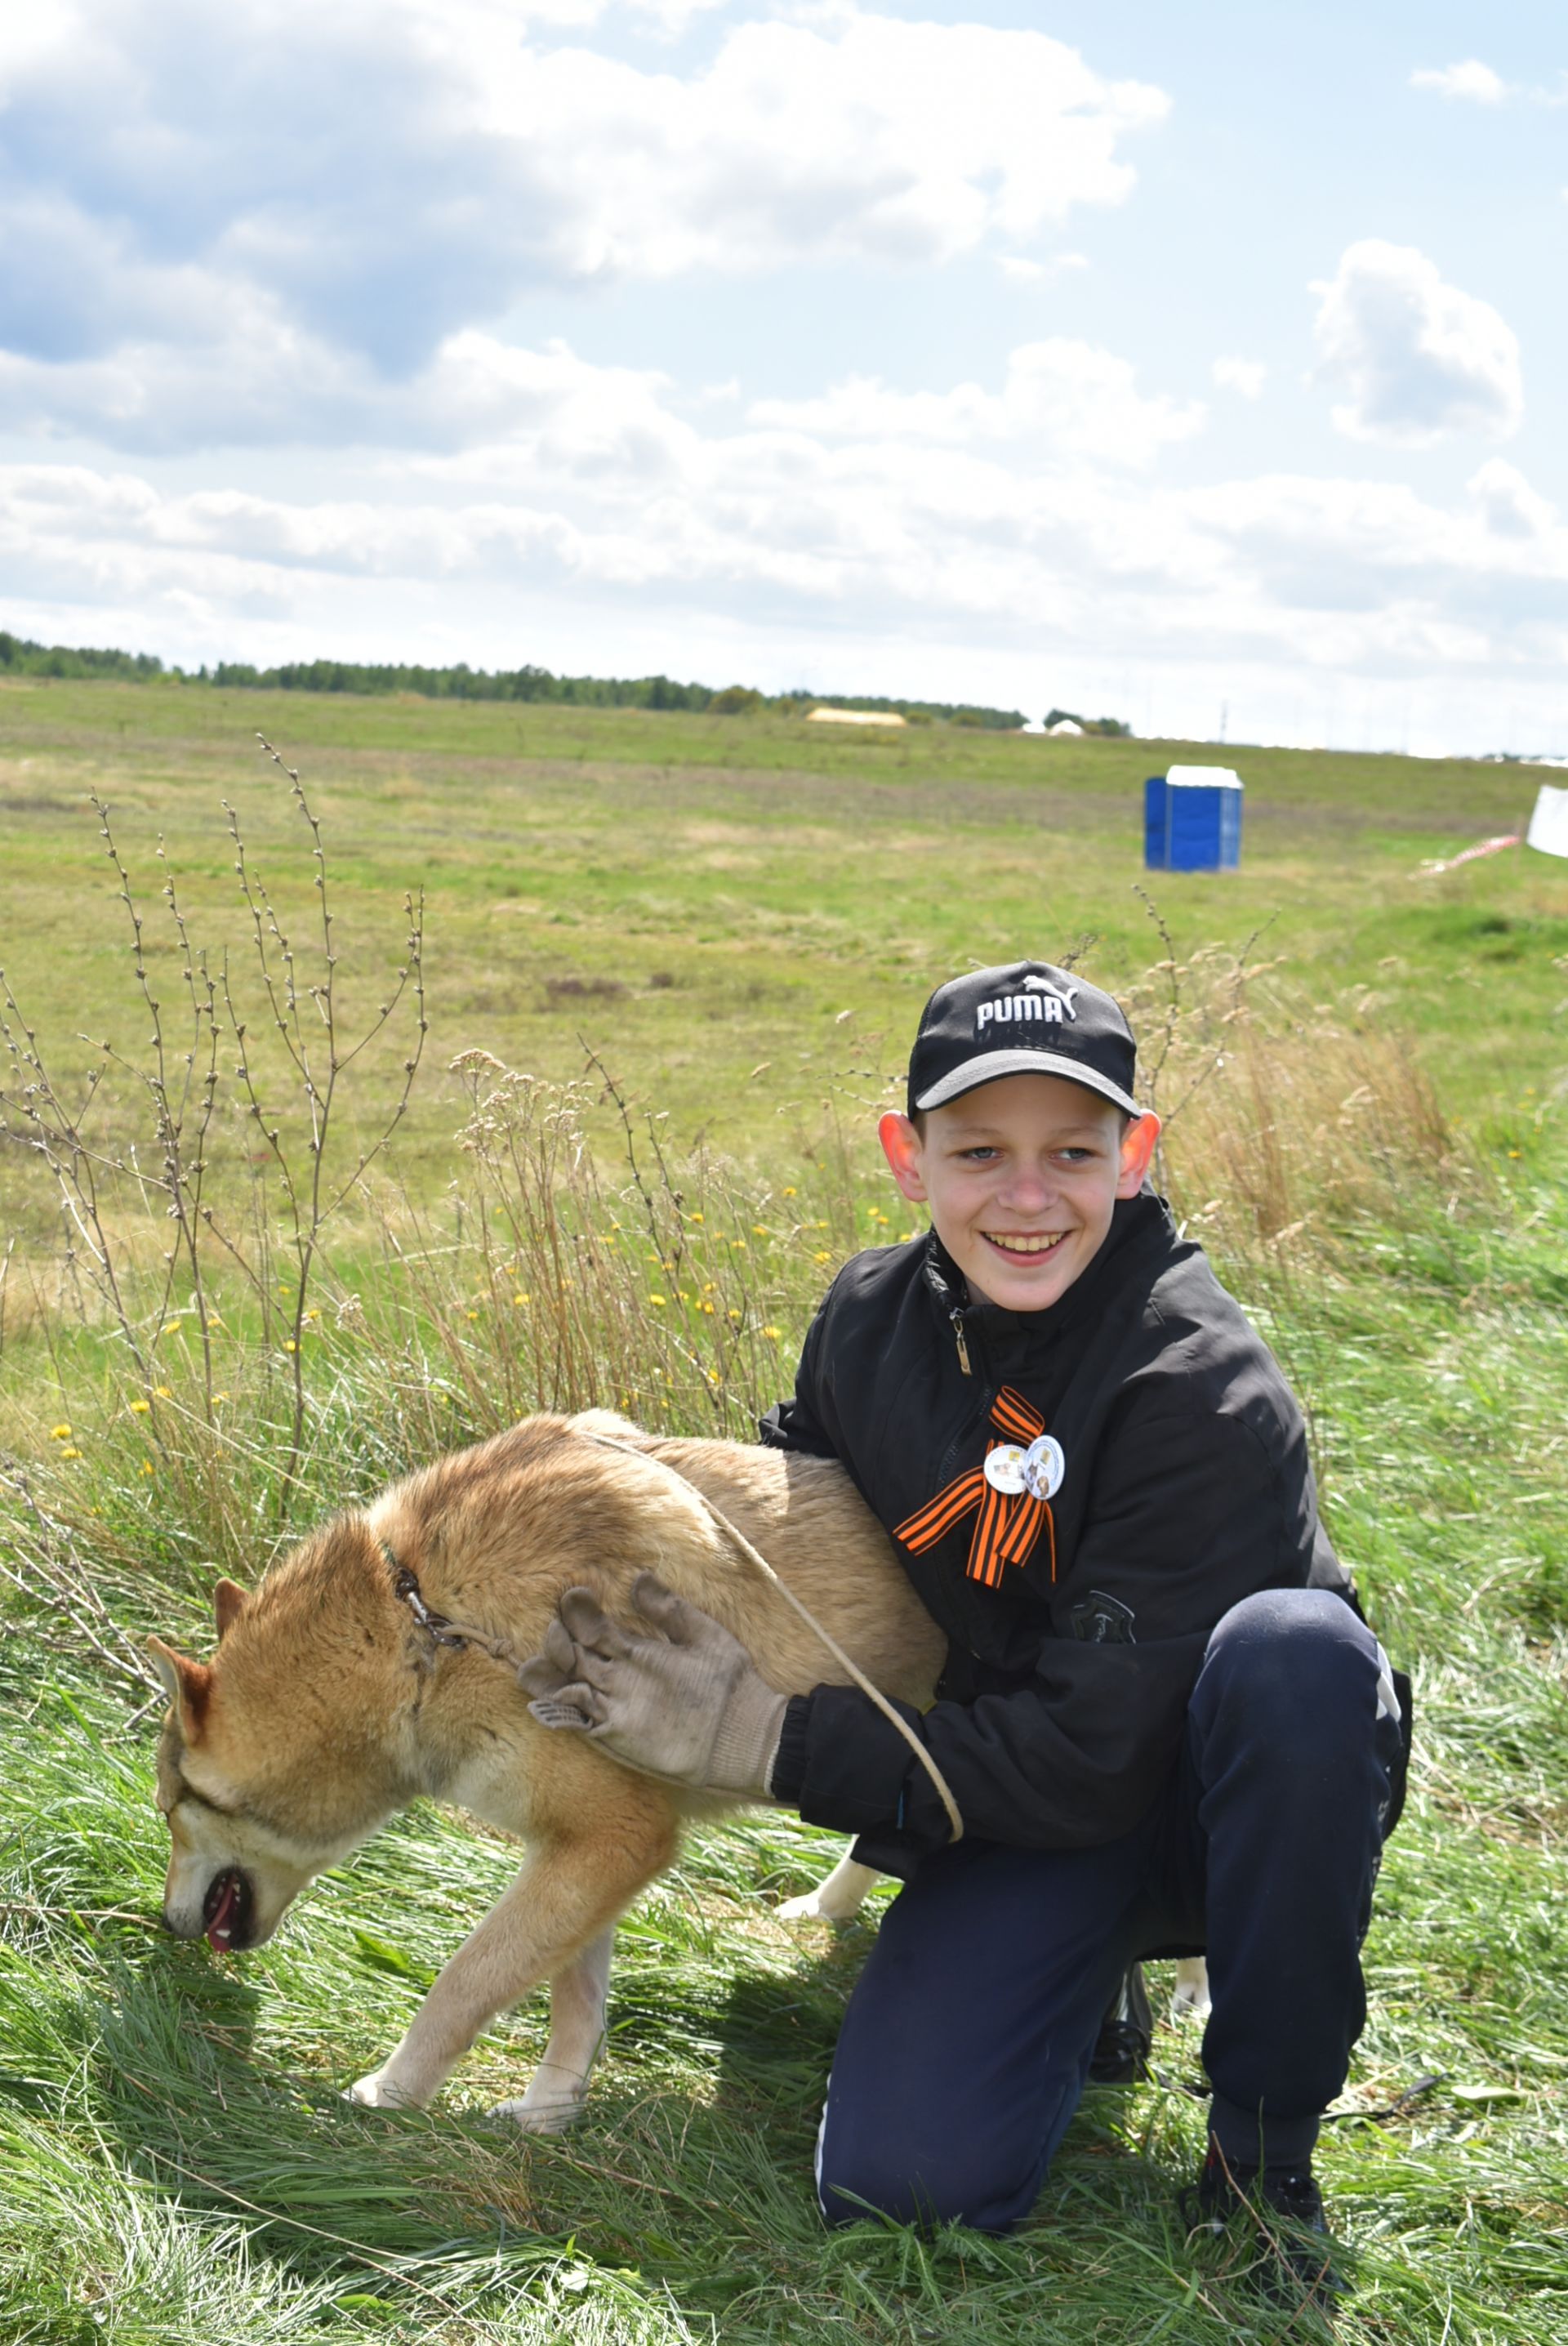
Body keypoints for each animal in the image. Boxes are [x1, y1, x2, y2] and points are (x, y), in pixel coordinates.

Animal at [149, 1407, 942, 2130]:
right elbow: (575, 2007)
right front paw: (548, 2113)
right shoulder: (583, 1854)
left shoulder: (611, 1840)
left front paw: (390, 2096)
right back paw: (826, 1907)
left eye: (169, 1812)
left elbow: (462, 1985)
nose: (163, 1923)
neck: (423, 1631)